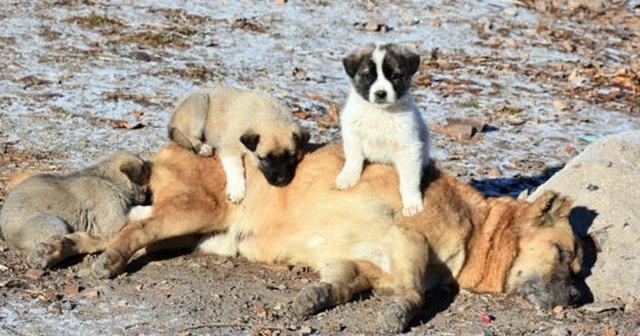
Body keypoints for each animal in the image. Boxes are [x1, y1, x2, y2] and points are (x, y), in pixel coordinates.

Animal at [0, 151, 151, 270]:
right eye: (145, 182)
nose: (147, 197)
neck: (109, 180)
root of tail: (7, 238)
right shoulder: (114, 219)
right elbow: (137, 211)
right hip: (53, 223)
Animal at [90, 144, 584, 334]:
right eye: (564, 256)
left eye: (578, 267)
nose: (579, 299)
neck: (477, 226)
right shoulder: (408, 241)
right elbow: (413, 294)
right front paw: (399, 314)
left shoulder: (353, 264)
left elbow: (337, 286)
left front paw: (312, 298)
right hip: (194, 213)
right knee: (134, 229)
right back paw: (110, 261)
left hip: (191, 231)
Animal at [168, 86, 308, 203]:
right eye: (265, 159)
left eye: (291, 156)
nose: (281, 181)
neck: (270, 116)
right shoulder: (229, 146)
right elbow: (235, 167)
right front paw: (236, 191)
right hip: (200, 102)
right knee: (189, 134)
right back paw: (202, 147)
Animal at [336, 43, 430, 217]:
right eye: (368, 75)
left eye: (395, 75)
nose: (381, 93)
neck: (380, 112)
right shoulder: (352, 134)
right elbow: (353, 158)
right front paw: (348, 176)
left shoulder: (409, 148)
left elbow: (409, 180)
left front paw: (412, 203)